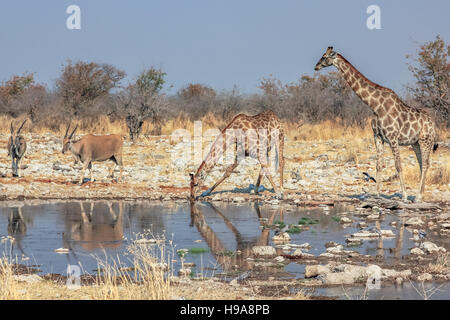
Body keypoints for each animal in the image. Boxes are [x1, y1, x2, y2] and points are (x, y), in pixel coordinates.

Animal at [314, 46, 438, 201]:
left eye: (324, 57)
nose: (316, 67)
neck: (375, 106)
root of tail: (433, 125)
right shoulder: (378, 136)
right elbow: (378, 165)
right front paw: (377, 194)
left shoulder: (393, 138)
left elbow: (398, 165)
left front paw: (404, 196)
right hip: (415, 143)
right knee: (422, 164)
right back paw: (420, 195)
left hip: (425, 140)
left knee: (426, 164)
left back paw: (417, 196)